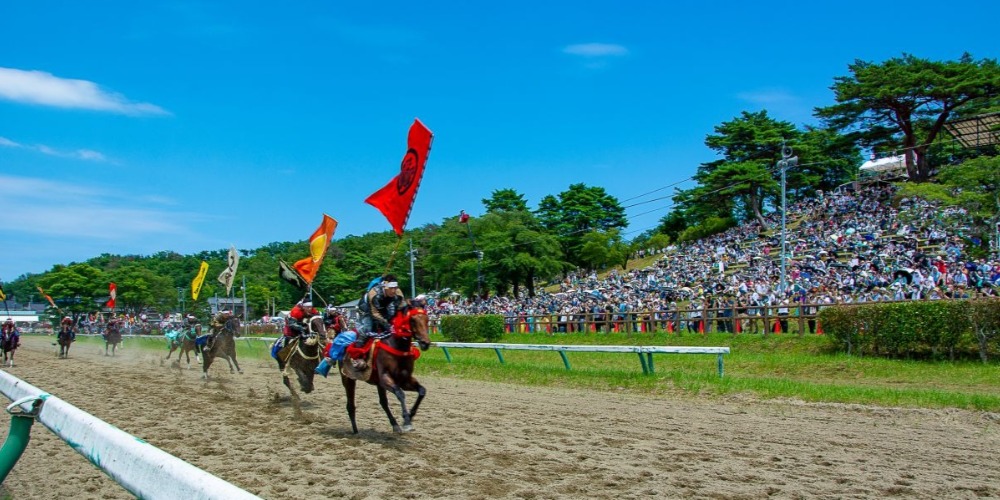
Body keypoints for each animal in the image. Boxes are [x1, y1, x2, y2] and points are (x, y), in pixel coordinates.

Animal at [340, 302, 431, 433]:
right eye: (412, 320)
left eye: (427, 319)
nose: (425, 343)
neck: (398, 347)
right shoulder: (385, 378)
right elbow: (400, 393)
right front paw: (407, 421)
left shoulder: (404, 380)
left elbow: (422, 391)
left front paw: (410, 415)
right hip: (348, 378)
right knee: (350, 405)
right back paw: (355, 431)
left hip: (377, 384)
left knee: (383, 402)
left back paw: (395, 425)